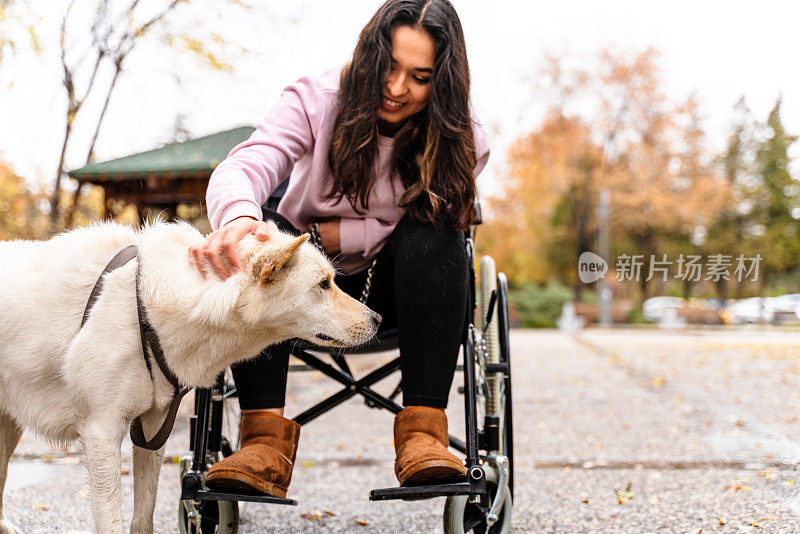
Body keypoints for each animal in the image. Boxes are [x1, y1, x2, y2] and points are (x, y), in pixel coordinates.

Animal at [0, 220, 380, 532]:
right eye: (324, 284)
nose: (377, 319)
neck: (147, 308)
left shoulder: (152, 429)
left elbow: (143, 518)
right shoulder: (101, 433)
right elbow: (112, 521)